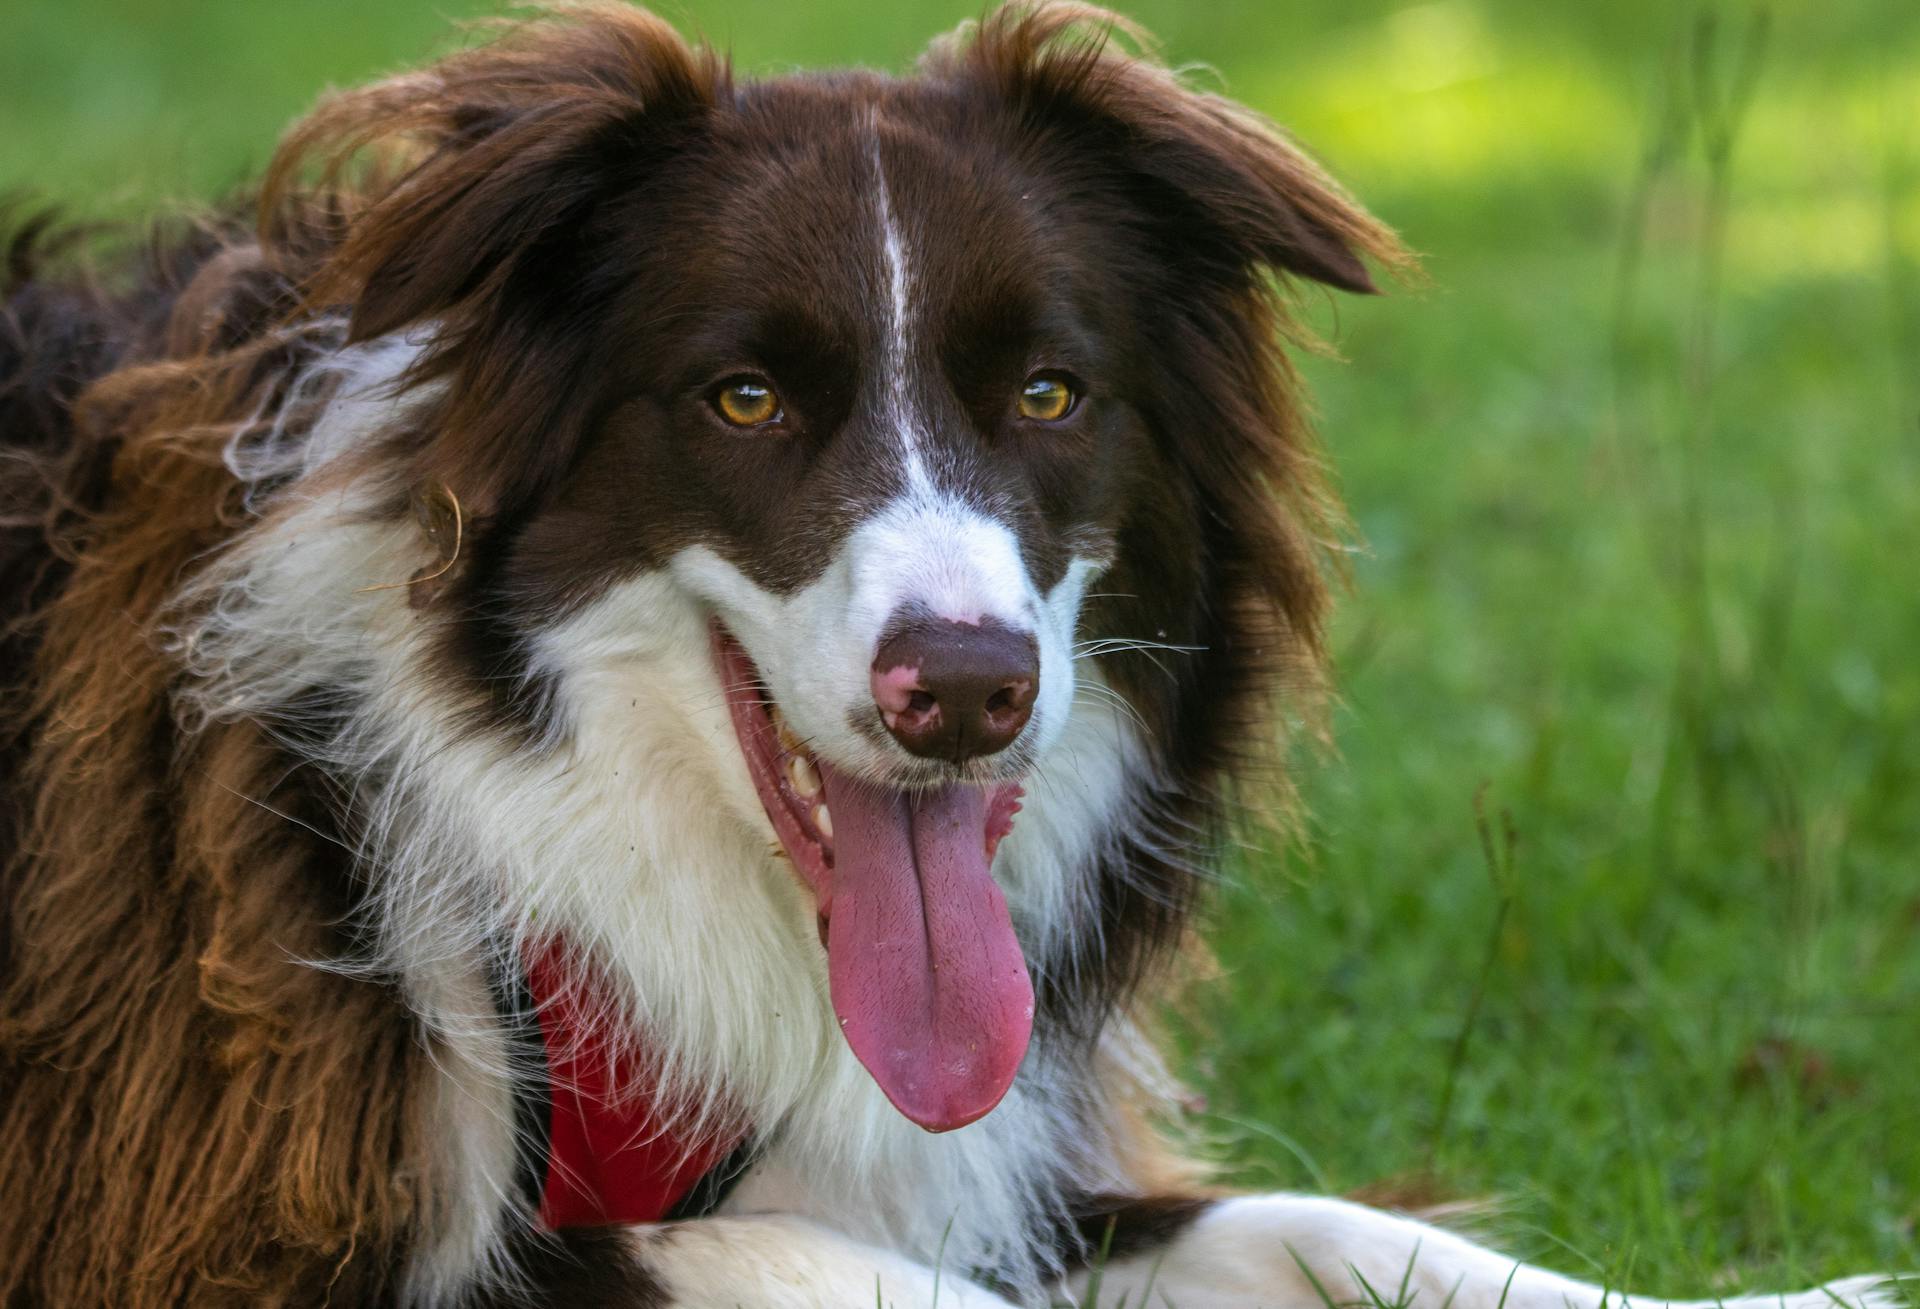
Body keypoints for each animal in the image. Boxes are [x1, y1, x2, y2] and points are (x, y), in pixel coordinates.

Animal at [0, 5, 1889, 1297]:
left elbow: (1314, 1222)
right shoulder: (248, 1215)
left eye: (1049, 391)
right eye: (742, 398)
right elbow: (804, 1260)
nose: (969, 688)